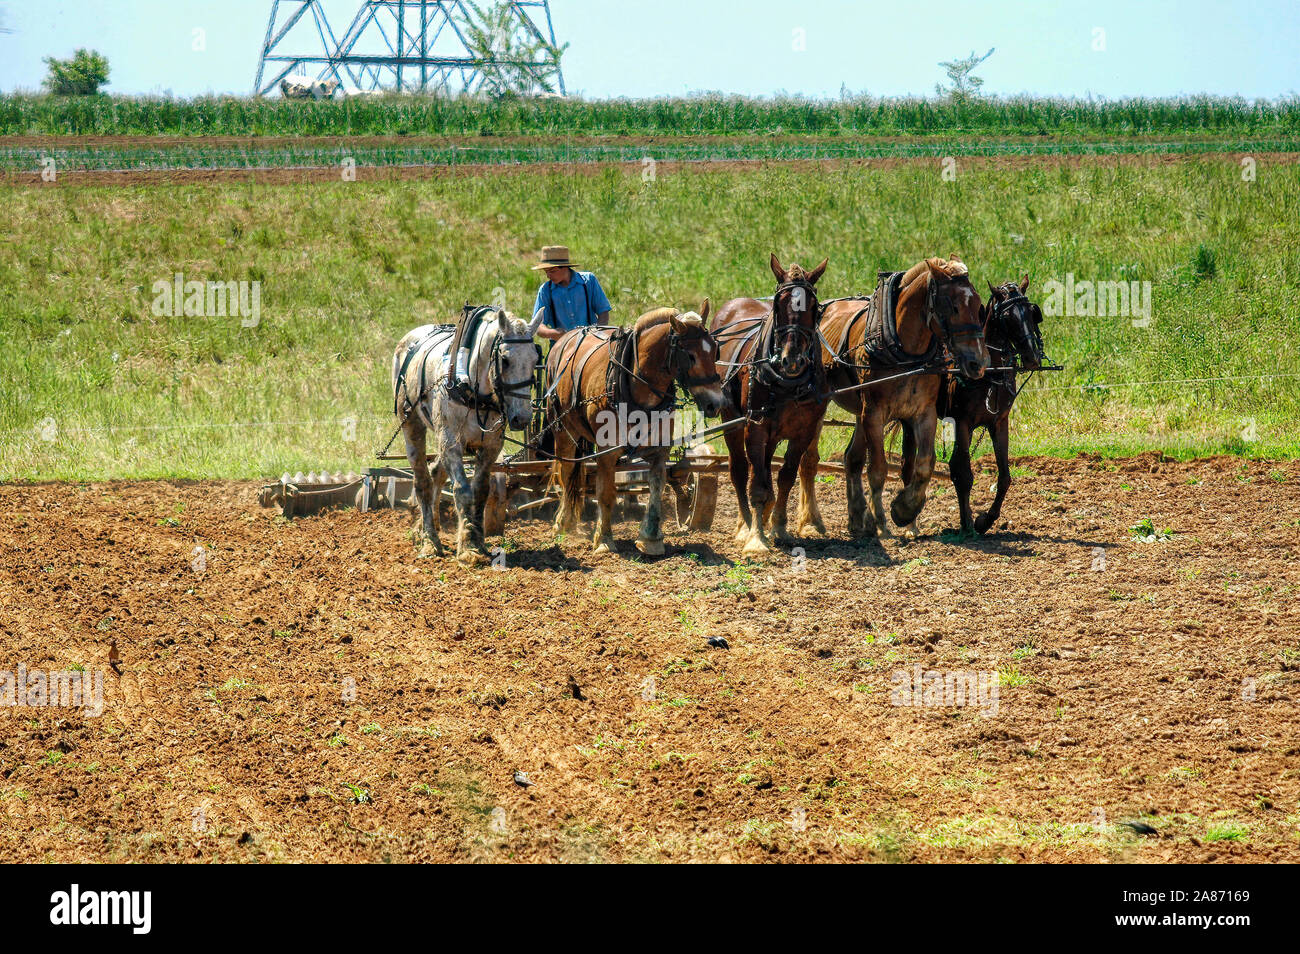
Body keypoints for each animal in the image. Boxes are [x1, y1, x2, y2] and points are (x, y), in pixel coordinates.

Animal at [538, 306, 722, 556]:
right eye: (690, 356)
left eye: (715, 350)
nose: (716, 403)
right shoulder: (606, 453)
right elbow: (606, 493)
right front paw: (604, 539)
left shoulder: (659, 450)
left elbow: (656, 488)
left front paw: (651, 538)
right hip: (563, 429)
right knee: (566, 473)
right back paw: (563, 523)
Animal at [712, 254, 832, 561]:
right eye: (779, 305)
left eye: (814, 308)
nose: (793, 360)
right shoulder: (755, 427)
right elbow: (756, 485)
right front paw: (756, 538)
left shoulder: (803, 431)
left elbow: (786, 476)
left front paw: (778, 527)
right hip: (733, 422)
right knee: (741, 470)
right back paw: (745, 525)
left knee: (764, 467)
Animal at [795, 257, 987, 540]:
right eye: (952, 307)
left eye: (978, 305)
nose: (977, 363)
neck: (906, 353)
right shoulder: (875, 414)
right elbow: (878, 469)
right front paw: (883, 523)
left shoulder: (923, 413)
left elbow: (924, 464)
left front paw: (905, 511)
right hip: (824, 406)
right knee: (809, 461)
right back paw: (812, 522)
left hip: (860, 412)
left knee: (851, 459)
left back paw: (858, 519)